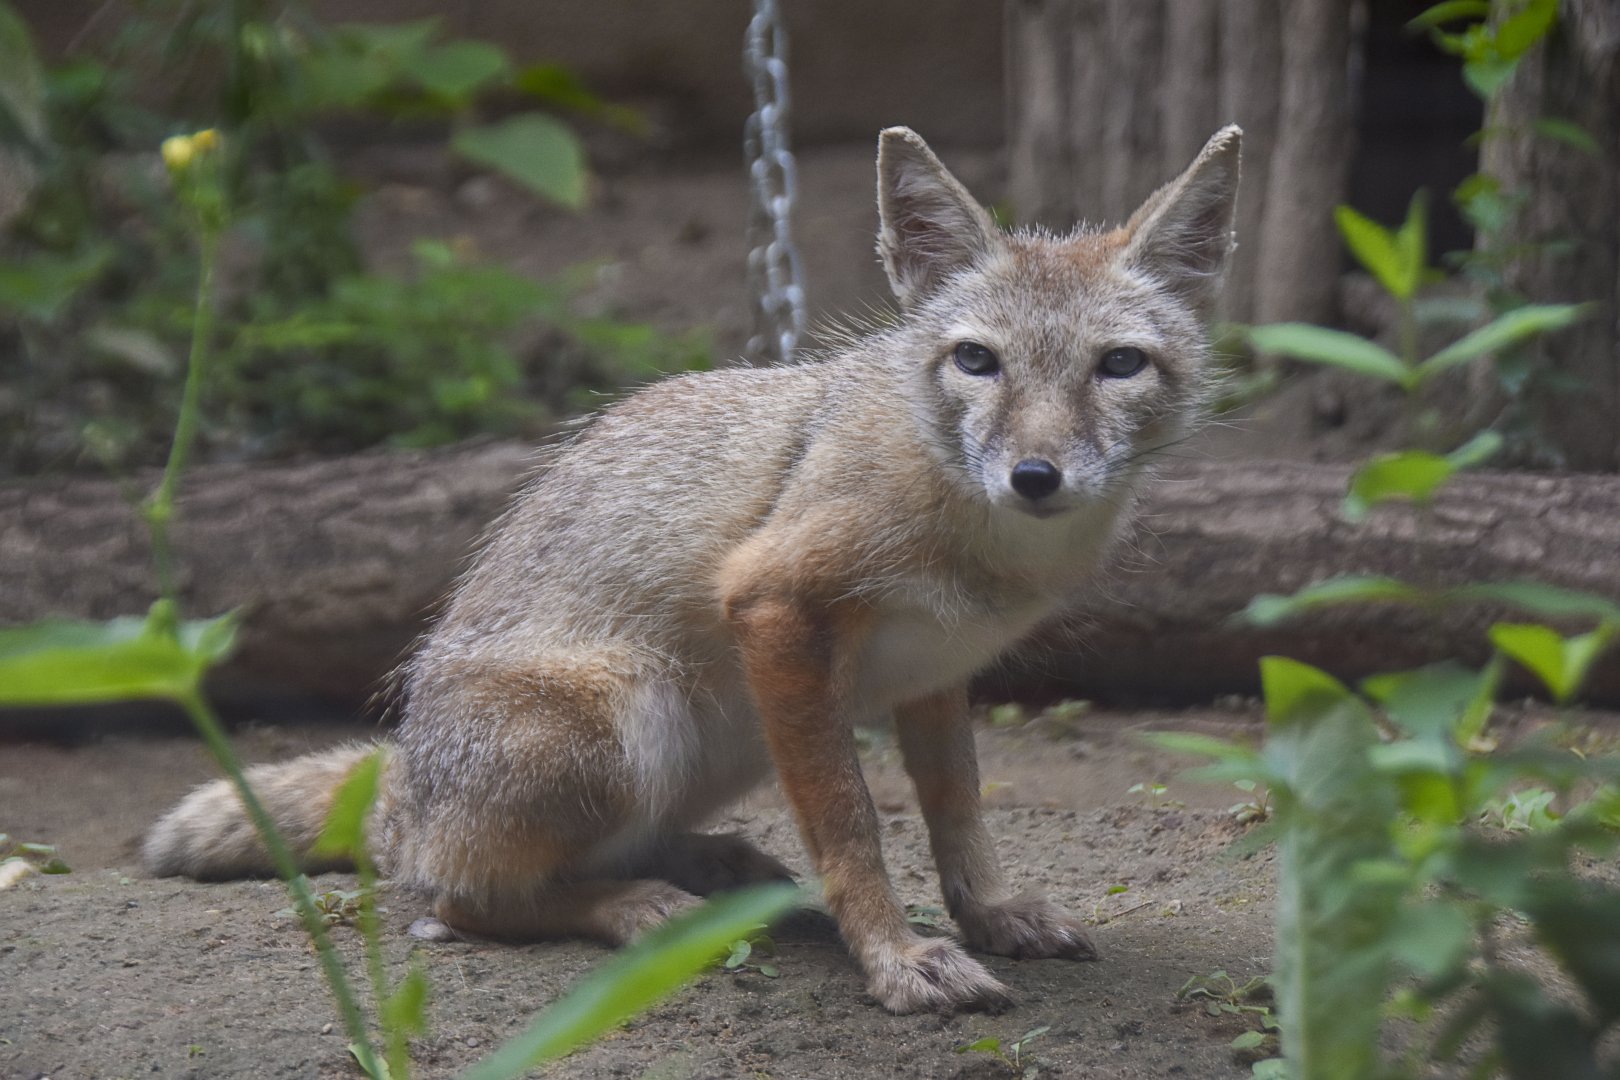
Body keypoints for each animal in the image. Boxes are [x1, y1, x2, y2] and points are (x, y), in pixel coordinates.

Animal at [145, 124, 1241, 1014]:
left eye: (1118, 365)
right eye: (978, 362)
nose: (1035, 475)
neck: (986, 543)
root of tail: (409, 786)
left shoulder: (936, 669)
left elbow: (958, 817)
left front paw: (993, 914)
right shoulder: (774, 603)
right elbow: (852, 829)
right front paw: (894, 960)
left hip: (729, 739)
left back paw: (716, 868)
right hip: (636, 710)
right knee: (448, 899)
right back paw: (639, 904)